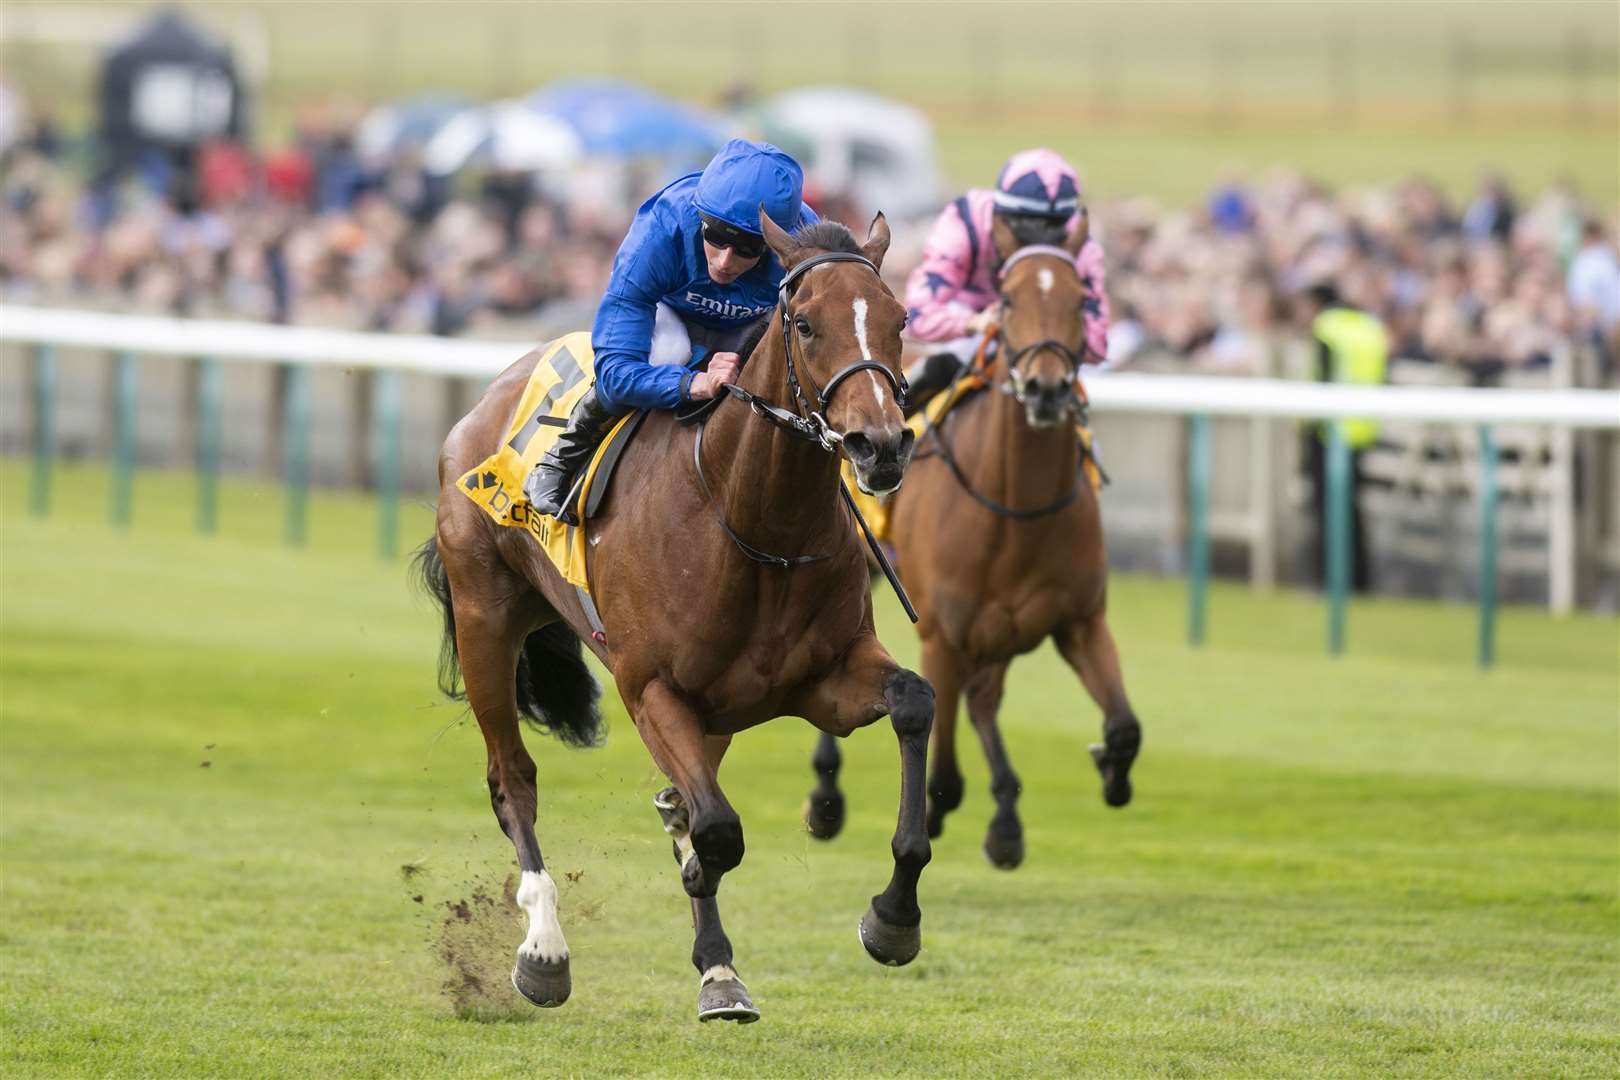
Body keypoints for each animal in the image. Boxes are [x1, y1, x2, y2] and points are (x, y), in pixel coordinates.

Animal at [421, 208, 939, 1023]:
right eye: (805, 322)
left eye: (900, 319)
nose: (880, 445)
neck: (754, 524)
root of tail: (484, 401)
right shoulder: (652, 690)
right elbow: (719, 831)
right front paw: (697, 875)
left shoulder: (824, 680)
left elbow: (915, 701)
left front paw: (892, 918)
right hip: (485, 619)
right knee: (514, 779)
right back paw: (544, 948)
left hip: (715, 710)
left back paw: (715, 961)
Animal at [806, 210, 1140, 867]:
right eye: (1006, 299)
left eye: (1083, 298)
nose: (1045, 389)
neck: (1019, 509)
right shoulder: (944, 636)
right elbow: (942, 774)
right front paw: (930, 817)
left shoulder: (1081, 621)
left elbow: (1123, 728)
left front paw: (1109, 772)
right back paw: (827, 798)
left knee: (986, 699)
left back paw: (1007, 814)